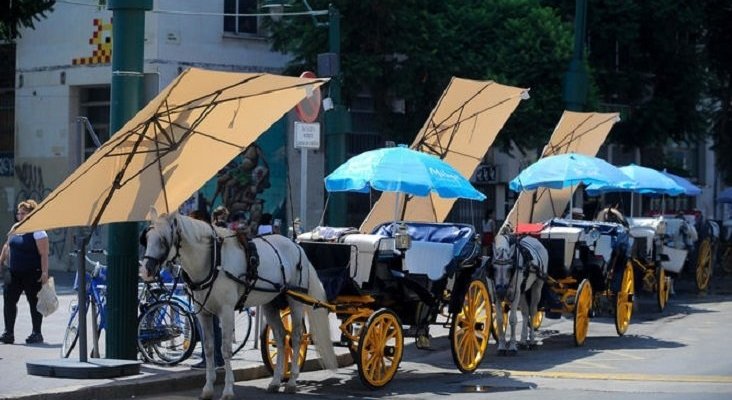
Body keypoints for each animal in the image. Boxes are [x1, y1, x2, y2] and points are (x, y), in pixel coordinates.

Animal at [139, 211, 338, 398]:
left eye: (163, 240)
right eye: (147, 238)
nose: (146, 270)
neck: (213, 261)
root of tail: (296, 246)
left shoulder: (226, 311)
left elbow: (226, 349)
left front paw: (227, 390)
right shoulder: (203, 312)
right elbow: (209, 348)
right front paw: (208, 388)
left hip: (295, 301)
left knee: (296, 338)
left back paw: (291, 382)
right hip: (270, 304)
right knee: (281, 338)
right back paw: (275, 381)